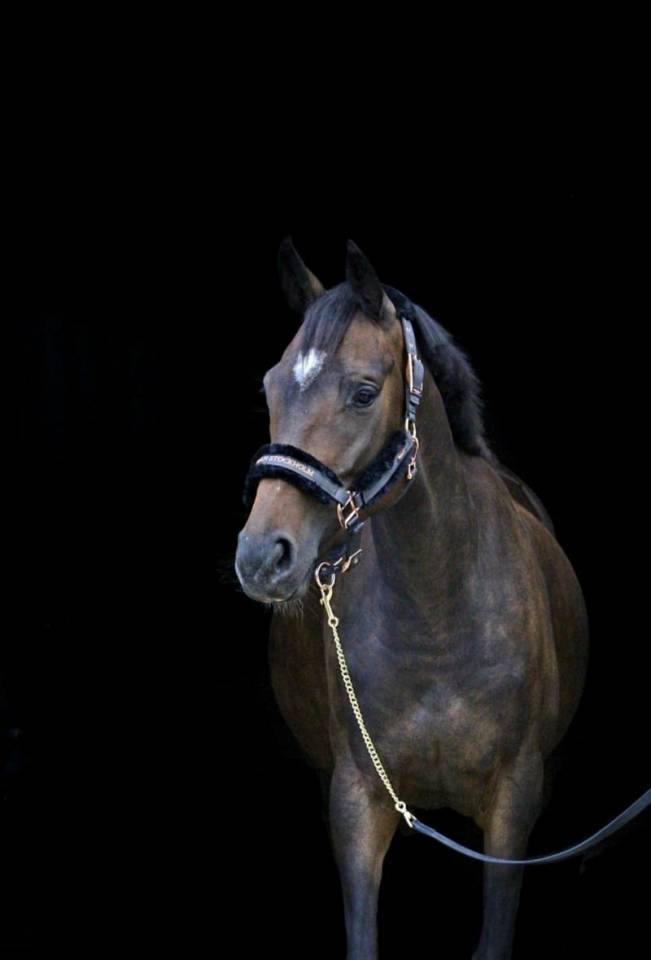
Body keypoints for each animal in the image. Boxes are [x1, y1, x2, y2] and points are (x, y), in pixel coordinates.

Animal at [234, 237, 590, 959]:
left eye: (364, 392)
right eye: (271, 386)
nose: (261, 556)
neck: (438, 611)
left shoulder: (514, 803)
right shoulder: (355, 800)